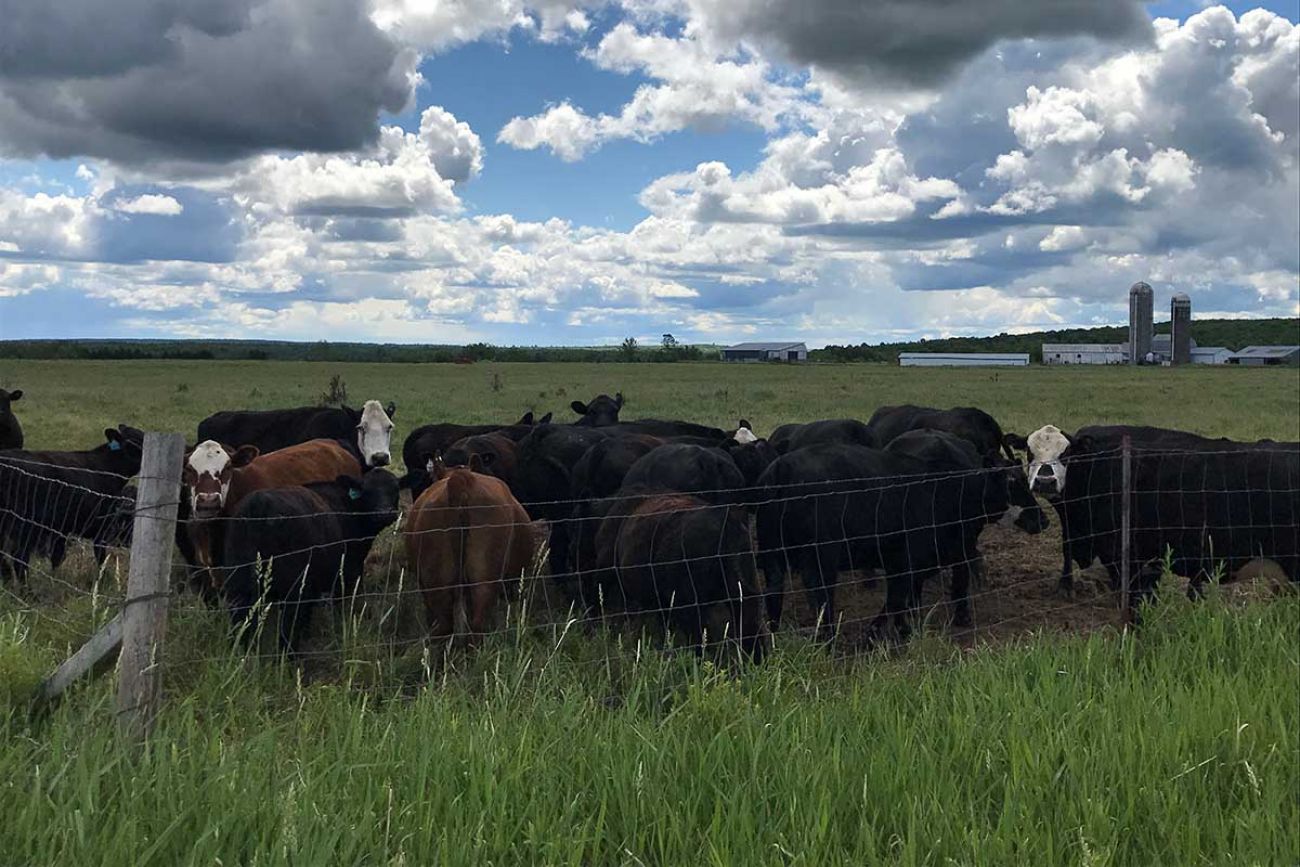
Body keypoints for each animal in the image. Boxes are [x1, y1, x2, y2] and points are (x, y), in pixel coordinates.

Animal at [0, 423, 143, 579]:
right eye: (137, 441)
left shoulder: (62, 527)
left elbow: (58, 557)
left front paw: (55, 578)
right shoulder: (100, 524)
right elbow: (100, 555)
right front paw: (102, 578)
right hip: (23, 524)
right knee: (19, 557)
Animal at [220, 470, 397, 647]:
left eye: (395, 489)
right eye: (367, 491)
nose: (384, 512)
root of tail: (260, 502)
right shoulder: (345, 572)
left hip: (238, 586)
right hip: (293, 589)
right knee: (287, 632)